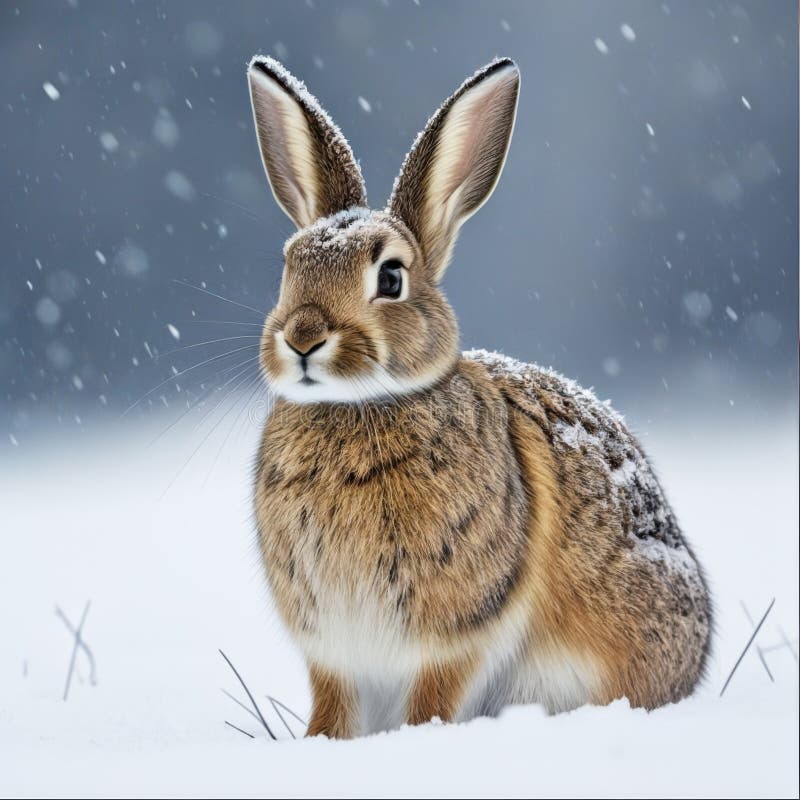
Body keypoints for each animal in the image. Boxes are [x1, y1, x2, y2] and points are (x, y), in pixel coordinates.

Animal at [247, 55, 712, 739]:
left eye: (391, 277)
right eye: (287, 266)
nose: (302, 337)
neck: (358, 406)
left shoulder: (455, 635)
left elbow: (434, 700)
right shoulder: (334, 650)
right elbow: (333, 708)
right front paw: (317, 745)